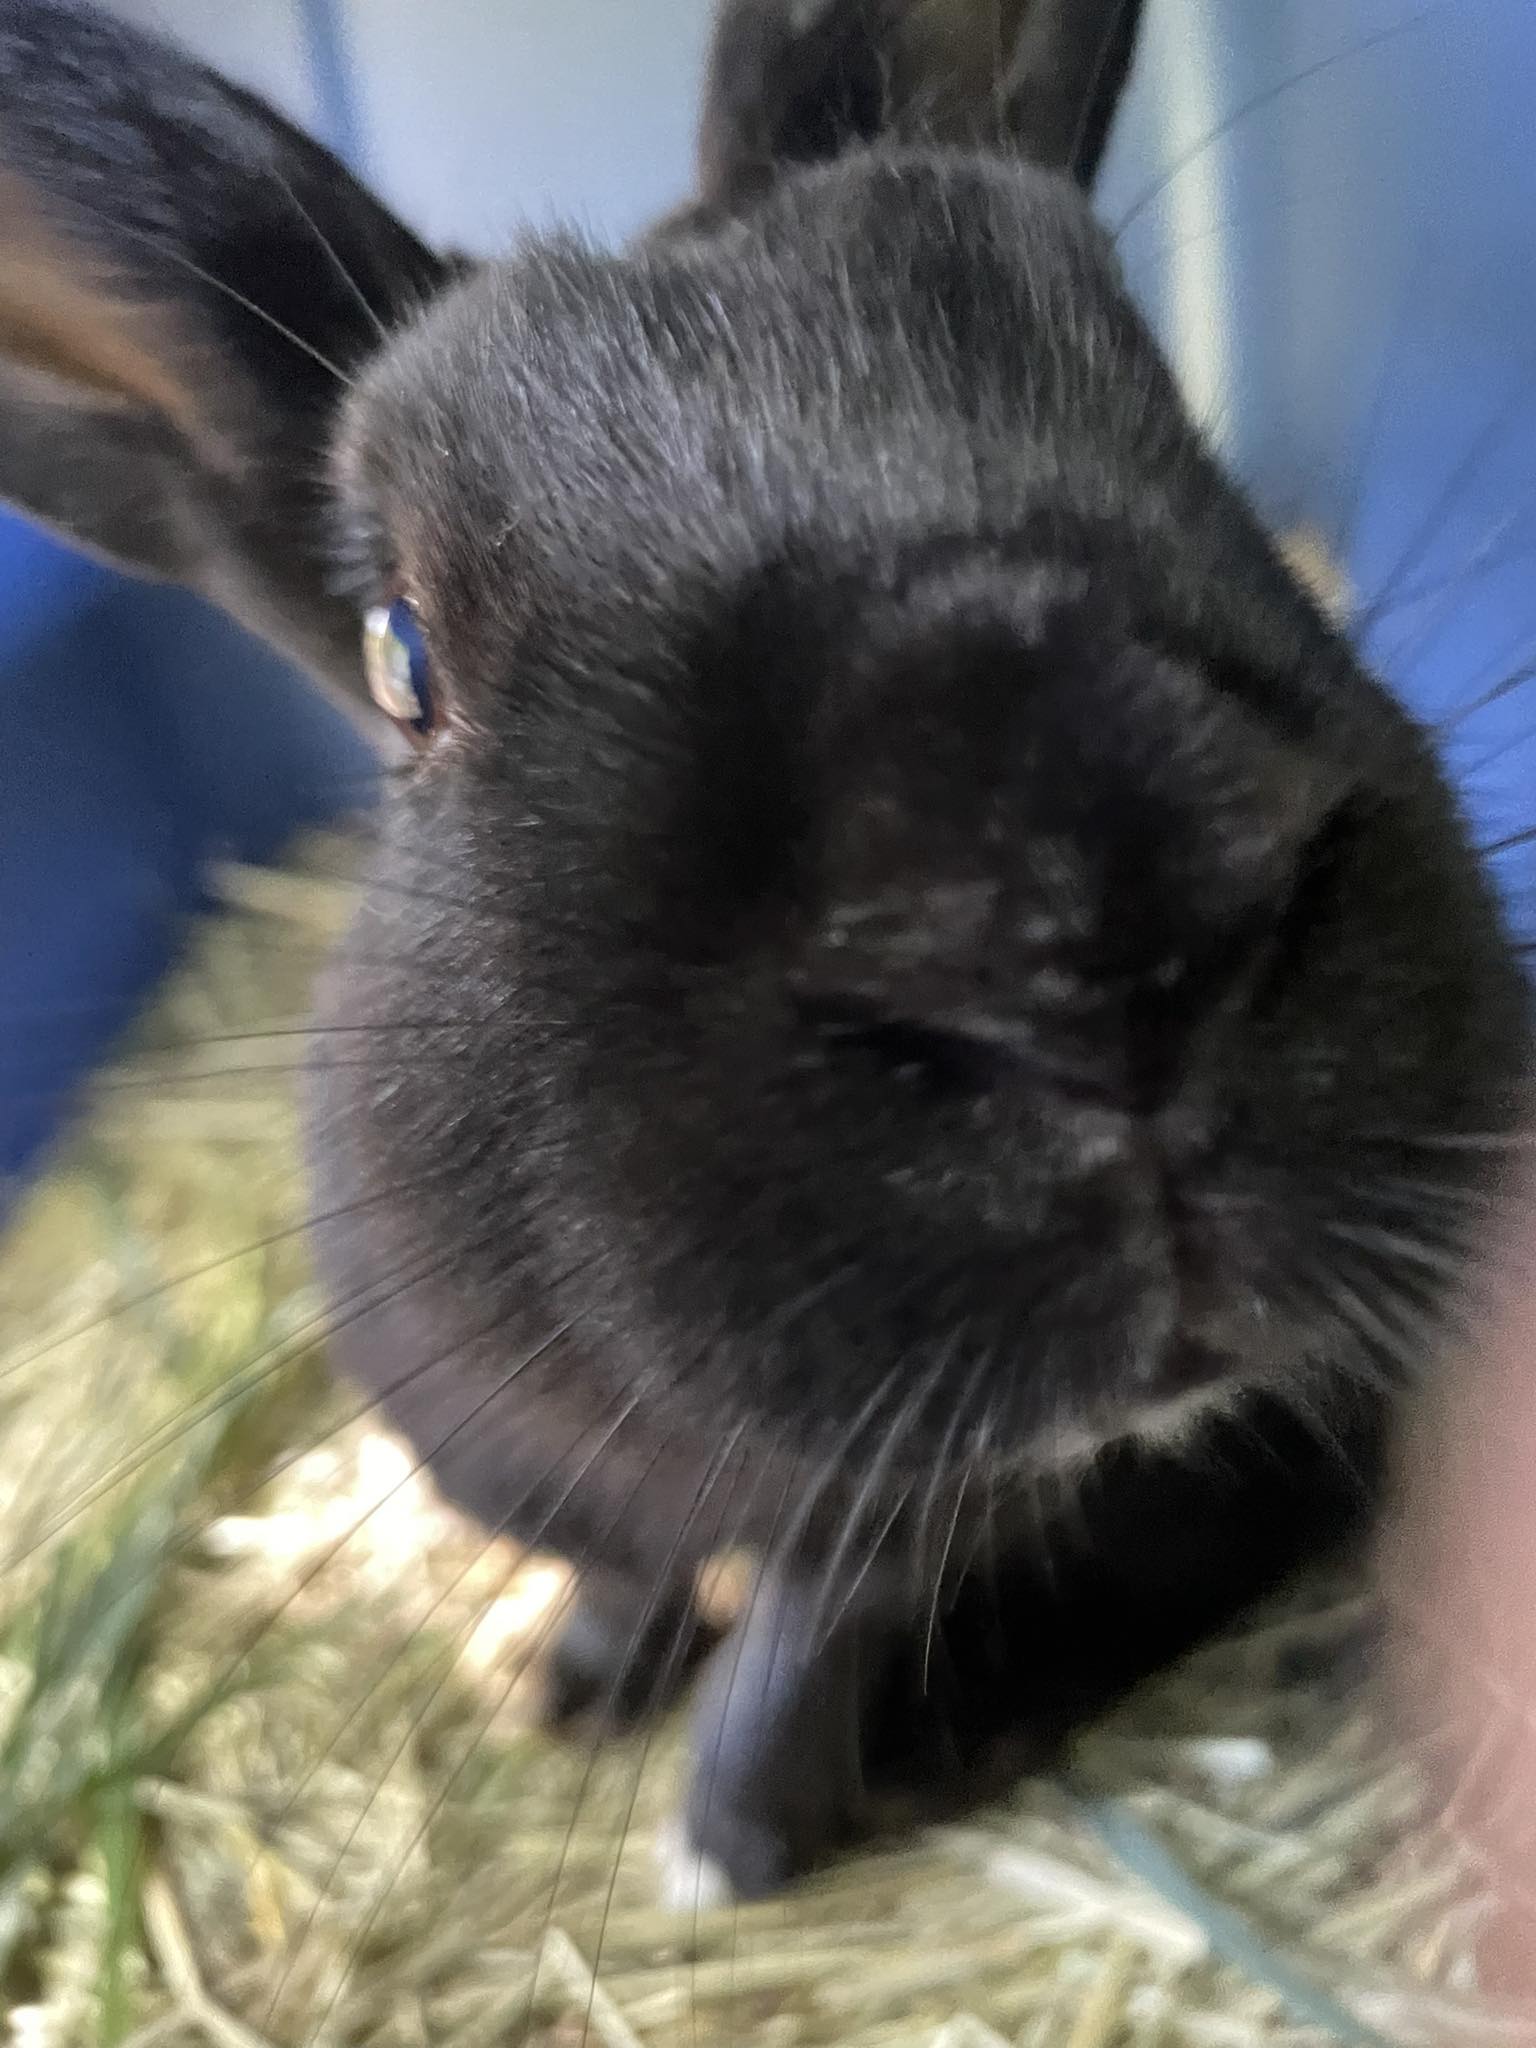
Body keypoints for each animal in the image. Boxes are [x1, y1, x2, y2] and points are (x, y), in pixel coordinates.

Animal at [0, 0, 1527, 1903]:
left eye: (1161, 401)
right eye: (401, 654)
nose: (1094, 938)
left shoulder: (888, 1522)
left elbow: (796, 1652)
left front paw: (725, 1844)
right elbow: (626, 1575)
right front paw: (572, 1690)